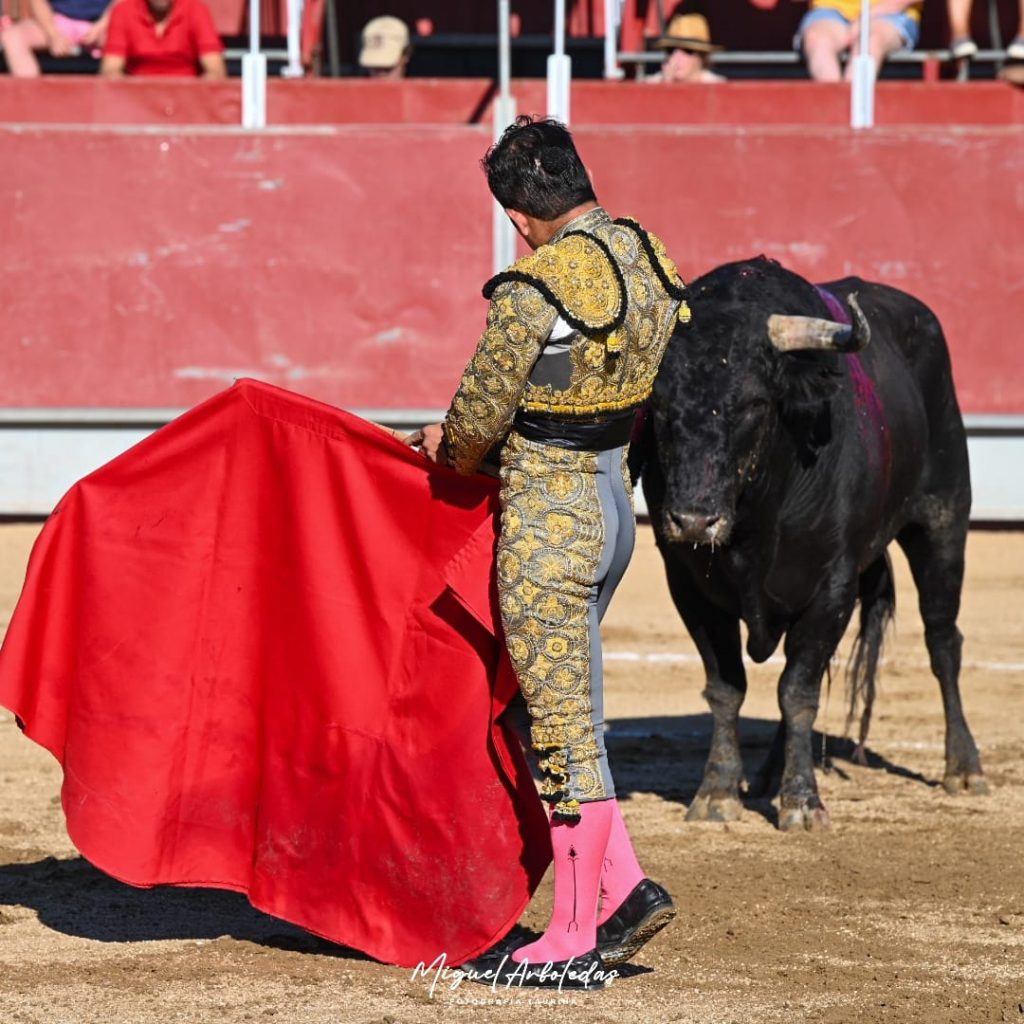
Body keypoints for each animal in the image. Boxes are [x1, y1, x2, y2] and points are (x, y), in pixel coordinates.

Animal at [638, 256, 983, 831]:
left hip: (943, 521)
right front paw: (718, 792)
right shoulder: (686, 583)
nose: (694, 520)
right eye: (660, 404)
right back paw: (769, 774)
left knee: (942, 641)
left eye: (755, 402)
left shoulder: (832, 585)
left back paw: (964, 768)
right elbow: (728, 687)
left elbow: (797, 693)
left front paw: (802, 803)